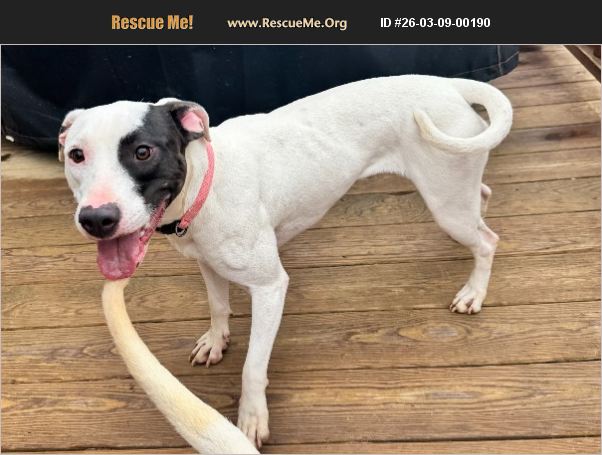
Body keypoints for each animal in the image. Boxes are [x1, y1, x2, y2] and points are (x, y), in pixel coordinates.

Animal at [59, 75, 512, 448]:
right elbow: (218, 306)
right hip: (455, 193)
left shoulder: (270, 287)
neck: (204, 186)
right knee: (482, 196)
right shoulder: (207, 263)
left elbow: (252, 366)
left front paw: (251, 417)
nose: (97, 219)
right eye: (76, 155)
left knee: (487, 241)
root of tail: (447, 83)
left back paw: (474, 292)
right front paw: (216, 340)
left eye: (143, 151)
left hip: (446, 196)